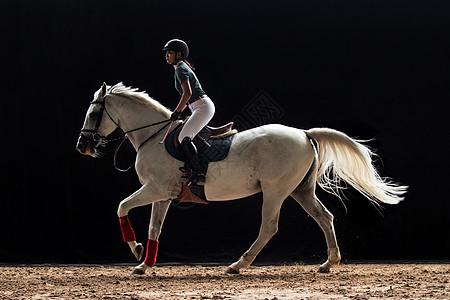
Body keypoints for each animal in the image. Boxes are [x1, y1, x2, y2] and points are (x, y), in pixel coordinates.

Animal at [75, 82, 406, 274]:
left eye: (92, 114)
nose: (82, 146)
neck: (152, 136)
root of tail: (303, 133)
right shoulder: (163, 193)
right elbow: (155, 227)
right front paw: (144, 263)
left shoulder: (153, 188)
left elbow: (121, 207)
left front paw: (135, 250)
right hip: (300, 190)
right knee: (324, 217)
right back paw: (329, 262)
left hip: (275, 191)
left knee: (269, 227)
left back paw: (237, 264)